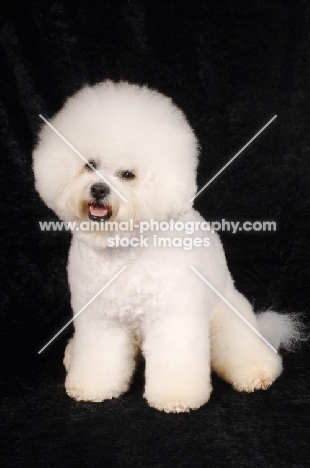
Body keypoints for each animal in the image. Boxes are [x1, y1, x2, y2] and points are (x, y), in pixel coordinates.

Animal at [33, 81, 300, 414]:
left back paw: (257, 372)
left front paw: (176, 397)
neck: (124, 250)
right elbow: (98, 355)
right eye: (90, 165)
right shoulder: (100, 319)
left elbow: (176, 358)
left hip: (226, 319)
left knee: (244, 349)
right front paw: (92, 386)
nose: (98, 189)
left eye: (128, 175)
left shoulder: (173, 317)